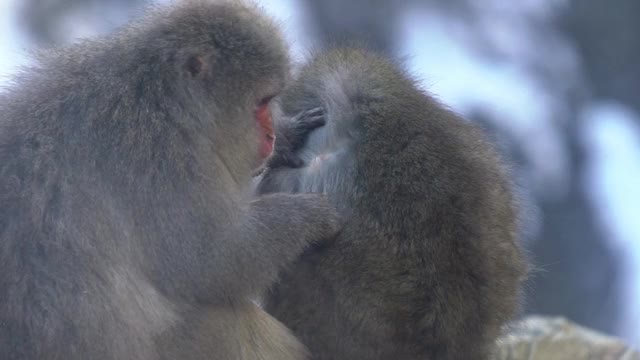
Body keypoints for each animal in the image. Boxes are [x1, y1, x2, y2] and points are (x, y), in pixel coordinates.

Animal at [0, 1, 340, 358]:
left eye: (269, 104)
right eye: (260, 103)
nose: (270, 136)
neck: (162, 98)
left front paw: (288, 136)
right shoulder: (162, 159)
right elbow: (214, 259)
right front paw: (309, 216)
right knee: (229, 322)